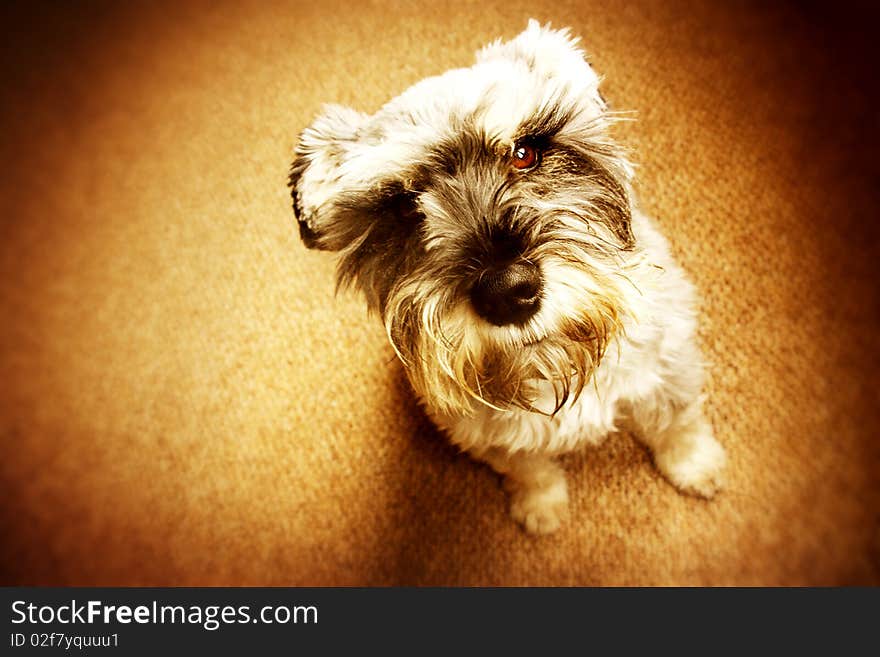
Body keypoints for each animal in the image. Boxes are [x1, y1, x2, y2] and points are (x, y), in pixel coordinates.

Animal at [286, 20, 724, 532]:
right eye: (402, 206)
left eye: (524, 152)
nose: (508, 293)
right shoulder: (486, 435)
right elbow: (529, 467)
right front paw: (541, 508)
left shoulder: (669, 364)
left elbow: (677, 423)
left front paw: (695, 465)